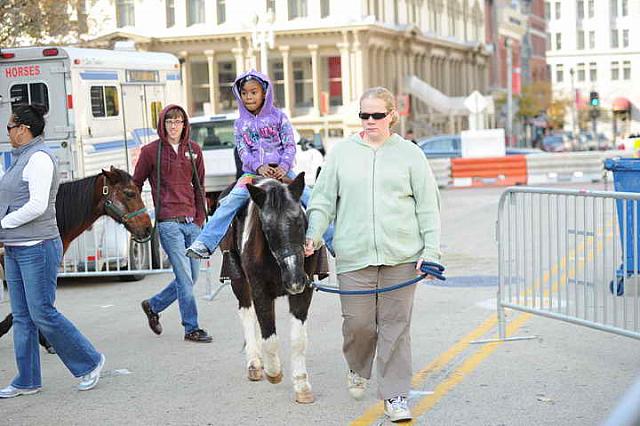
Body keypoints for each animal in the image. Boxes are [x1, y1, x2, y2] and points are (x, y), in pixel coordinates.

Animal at [221, 172, 330, 402]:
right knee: (246, 313)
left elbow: (298, 339)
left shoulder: (303, 291)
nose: (294, 279)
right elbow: (269, 337)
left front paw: (302, 386)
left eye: (299, 222)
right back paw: (255, 363)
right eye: (268, 229)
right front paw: (274, 372)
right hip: (239, 282)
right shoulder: (260, 290)